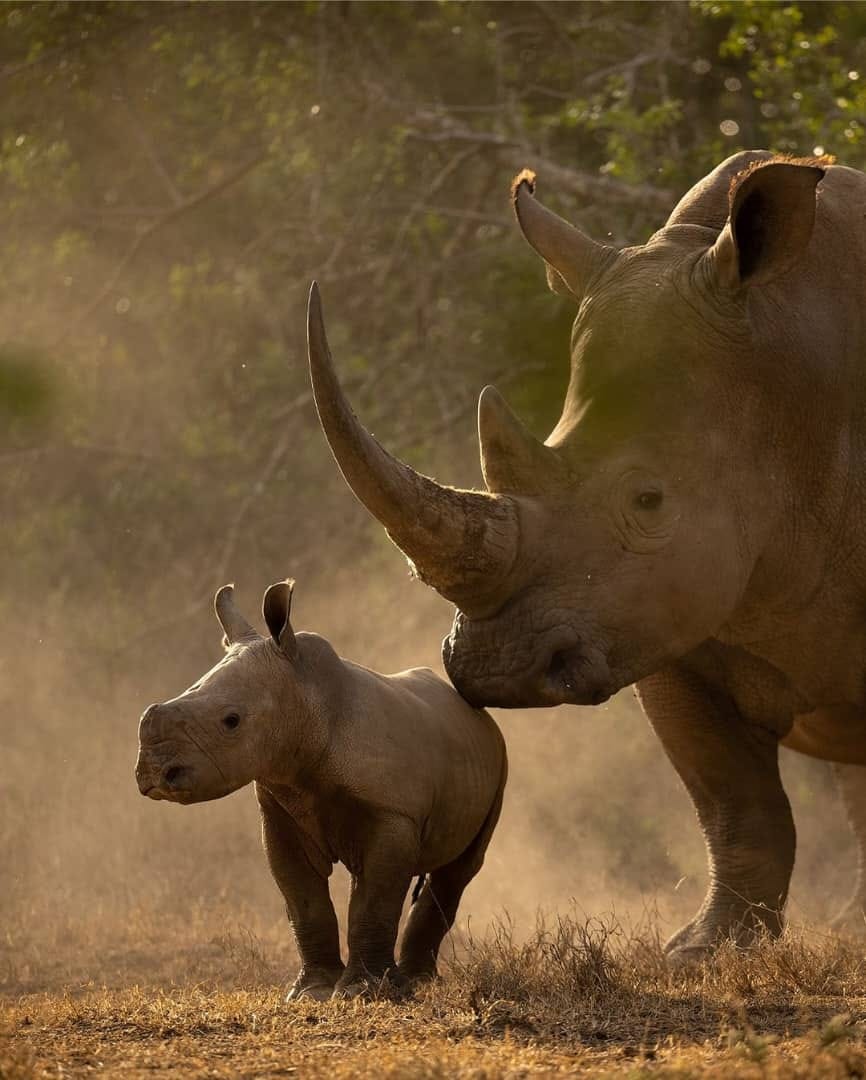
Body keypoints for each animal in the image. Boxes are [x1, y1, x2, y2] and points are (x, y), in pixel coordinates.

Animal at [135, 580, 507, 998]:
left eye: (231, 721)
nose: (153, 774)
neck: (308, 702)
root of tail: (476, 713)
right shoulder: (280, 807)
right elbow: (303, 898)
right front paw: (312, 992)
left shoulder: (392, 813)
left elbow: (374, 901)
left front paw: (365, 992)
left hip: (499, 757)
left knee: (458, 870)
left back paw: (417, 983)